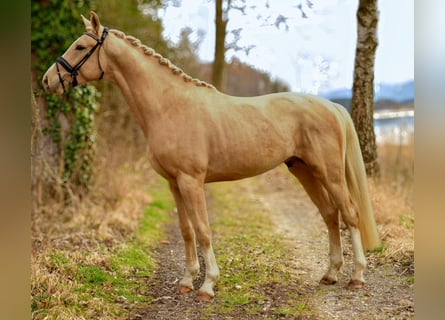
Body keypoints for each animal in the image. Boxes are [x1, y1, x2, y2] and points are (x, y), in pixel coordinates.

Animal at [43, 11, 380, 300]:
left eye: (81, 46)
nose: (48, 80)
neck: (168, 106)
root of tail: (332, 106)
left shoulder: (191, 181)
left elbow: (204, 230)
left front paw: (207, 285)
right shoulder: (173, 183)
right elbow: (186, 231)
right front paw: (186, 281)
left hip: (329, 172)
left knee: (349, 213)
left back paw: (357, 277)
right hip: (304, 170)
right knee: (330, 214)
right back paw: (330, 274)